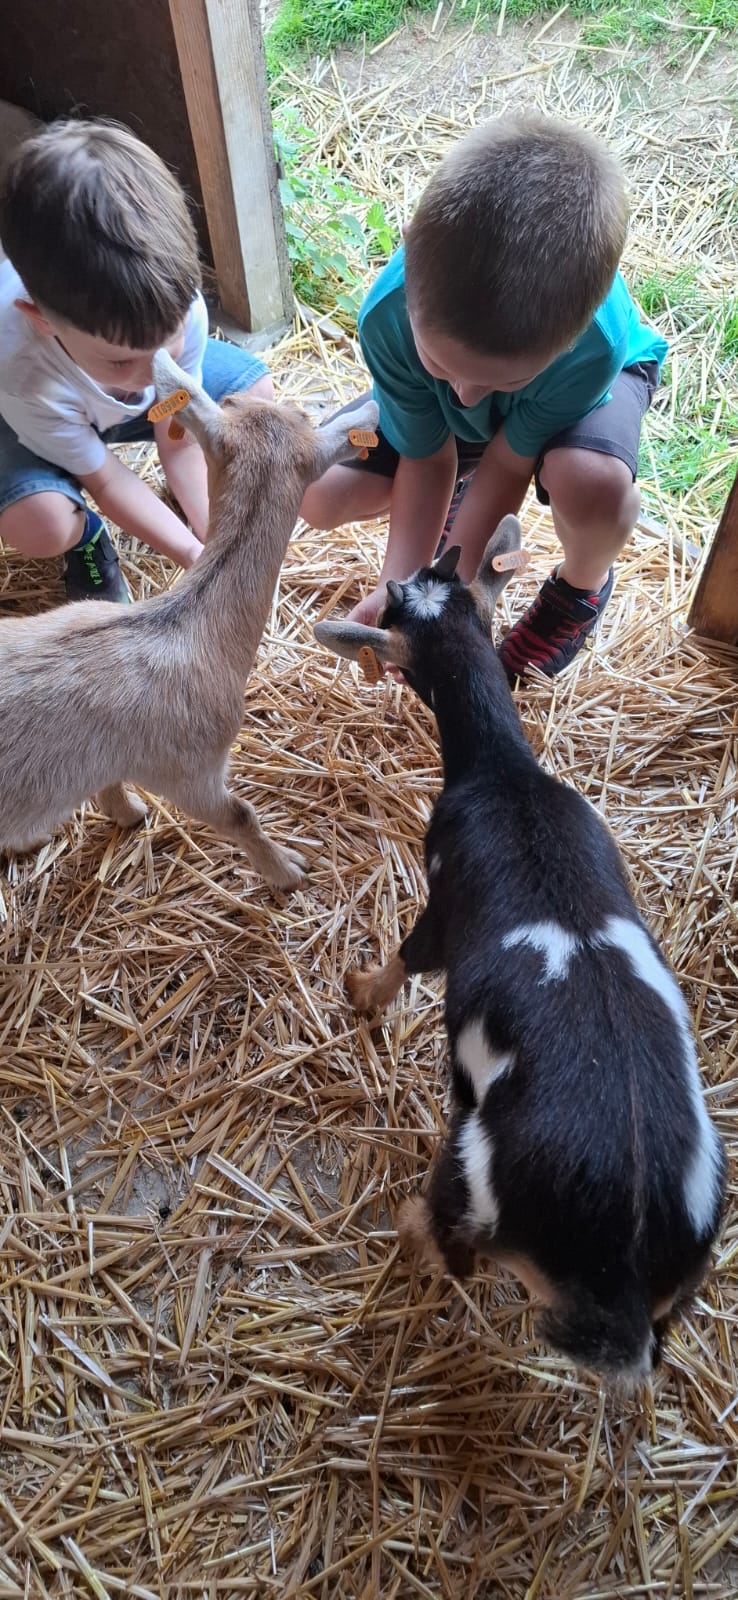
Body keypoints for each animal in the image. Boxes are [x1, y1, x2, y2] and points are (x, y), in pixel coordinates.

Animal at [313, 521, 723, 1388]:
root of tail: (620, 1275)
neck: (507, 773)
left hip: (473, 1174)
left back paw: (405, 1224)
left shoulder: (444, 899)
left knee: (452, 1239)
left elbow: (410, 956)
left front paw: (361, 990)